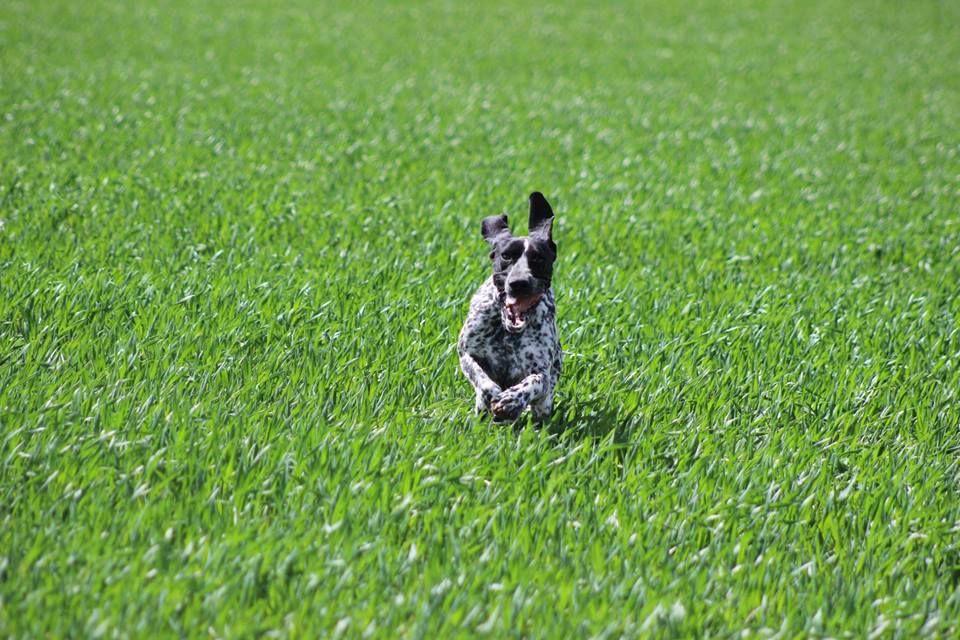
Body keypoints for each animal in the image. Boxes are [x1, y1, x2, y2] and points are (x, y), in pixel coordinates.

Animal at [460, 191, 564, 420]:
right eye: (506, 255)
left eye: (538, 258)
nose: (519, 283)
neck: (507, 332)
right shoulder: (466, 352)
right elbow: (481, 378)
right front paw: (492, 394)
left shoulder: (541, 371)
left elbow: (535, 381)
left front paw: (511, 400)